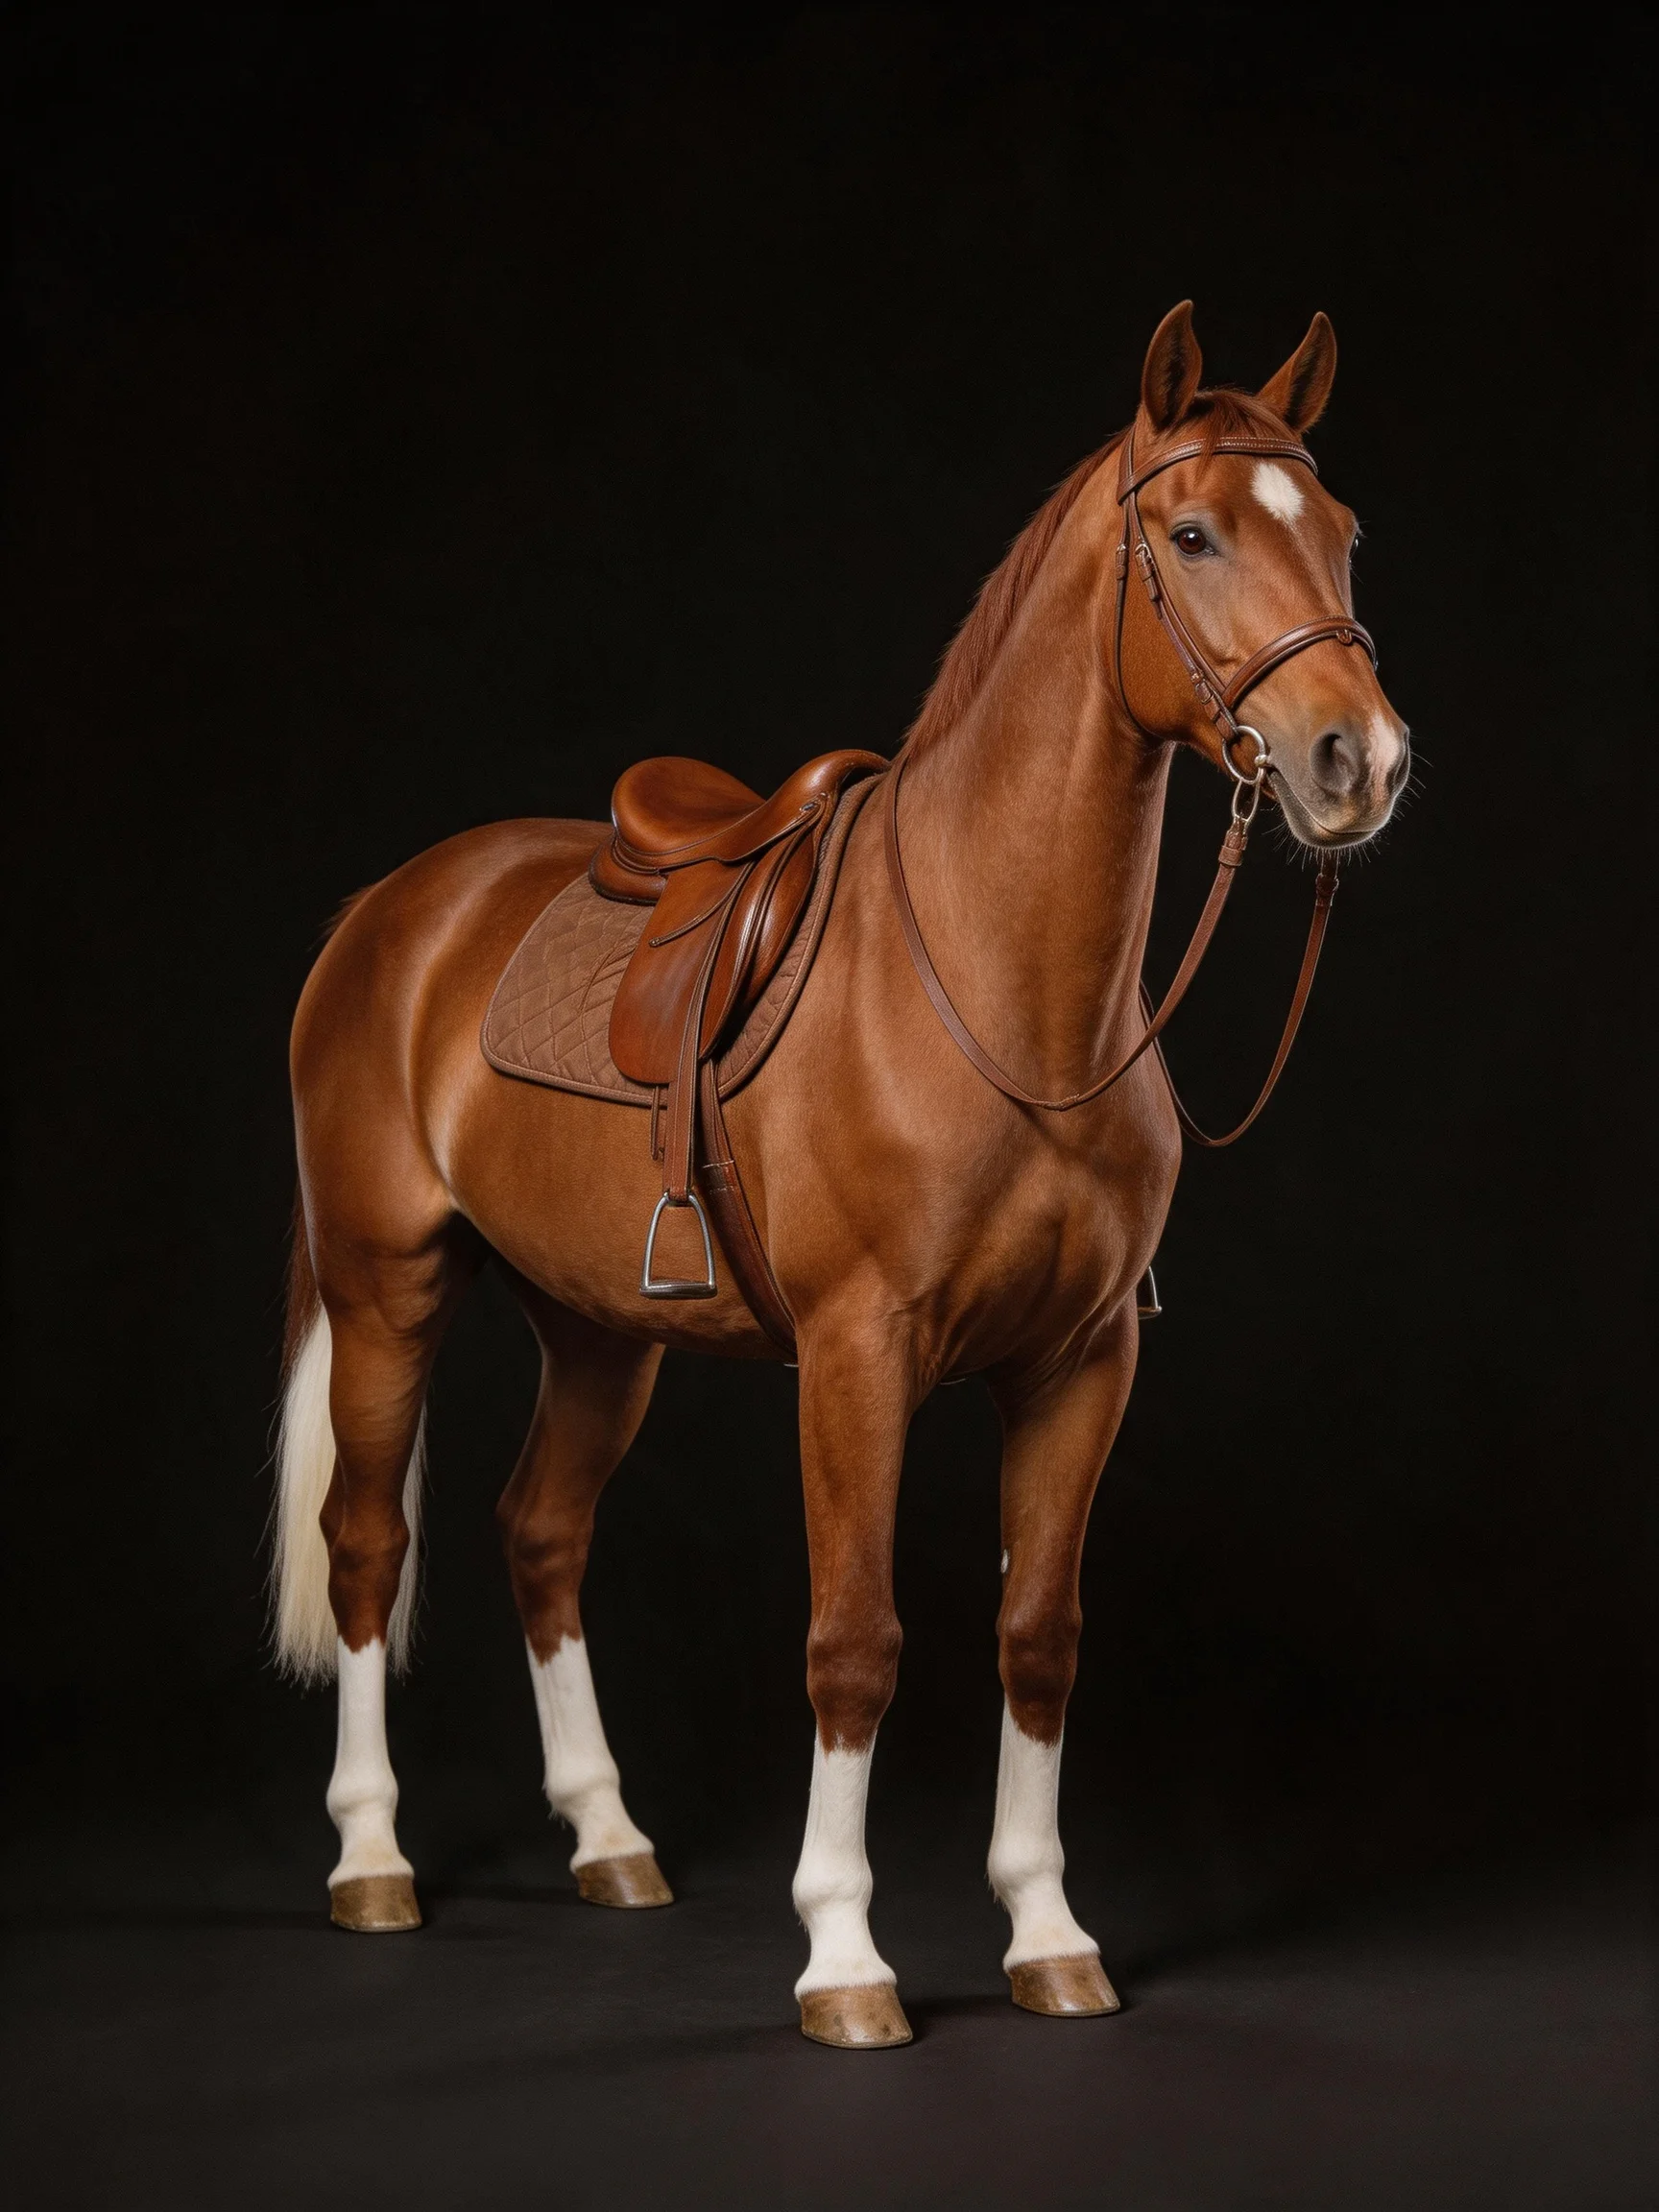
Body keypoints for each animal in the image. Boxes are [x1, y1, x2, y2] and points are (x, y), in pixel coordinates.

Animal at [273, 301, 1408, 2048]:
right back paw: (372, 1857)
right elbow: (856, 1640)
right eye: (1194, 534)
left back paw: (608, 1837)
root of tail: (389, 910)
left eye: (1340, 532)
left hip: (597, 1330)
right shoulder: (857, 1359)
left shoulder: (1083, 1361)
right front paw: (844, 1955)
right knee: (364, 1543)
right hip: (385, 1286)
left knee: (540, 1531)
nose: (1362, 759)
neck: (999, 994)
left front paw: (1048, 1933)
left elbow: (1037, 1633)